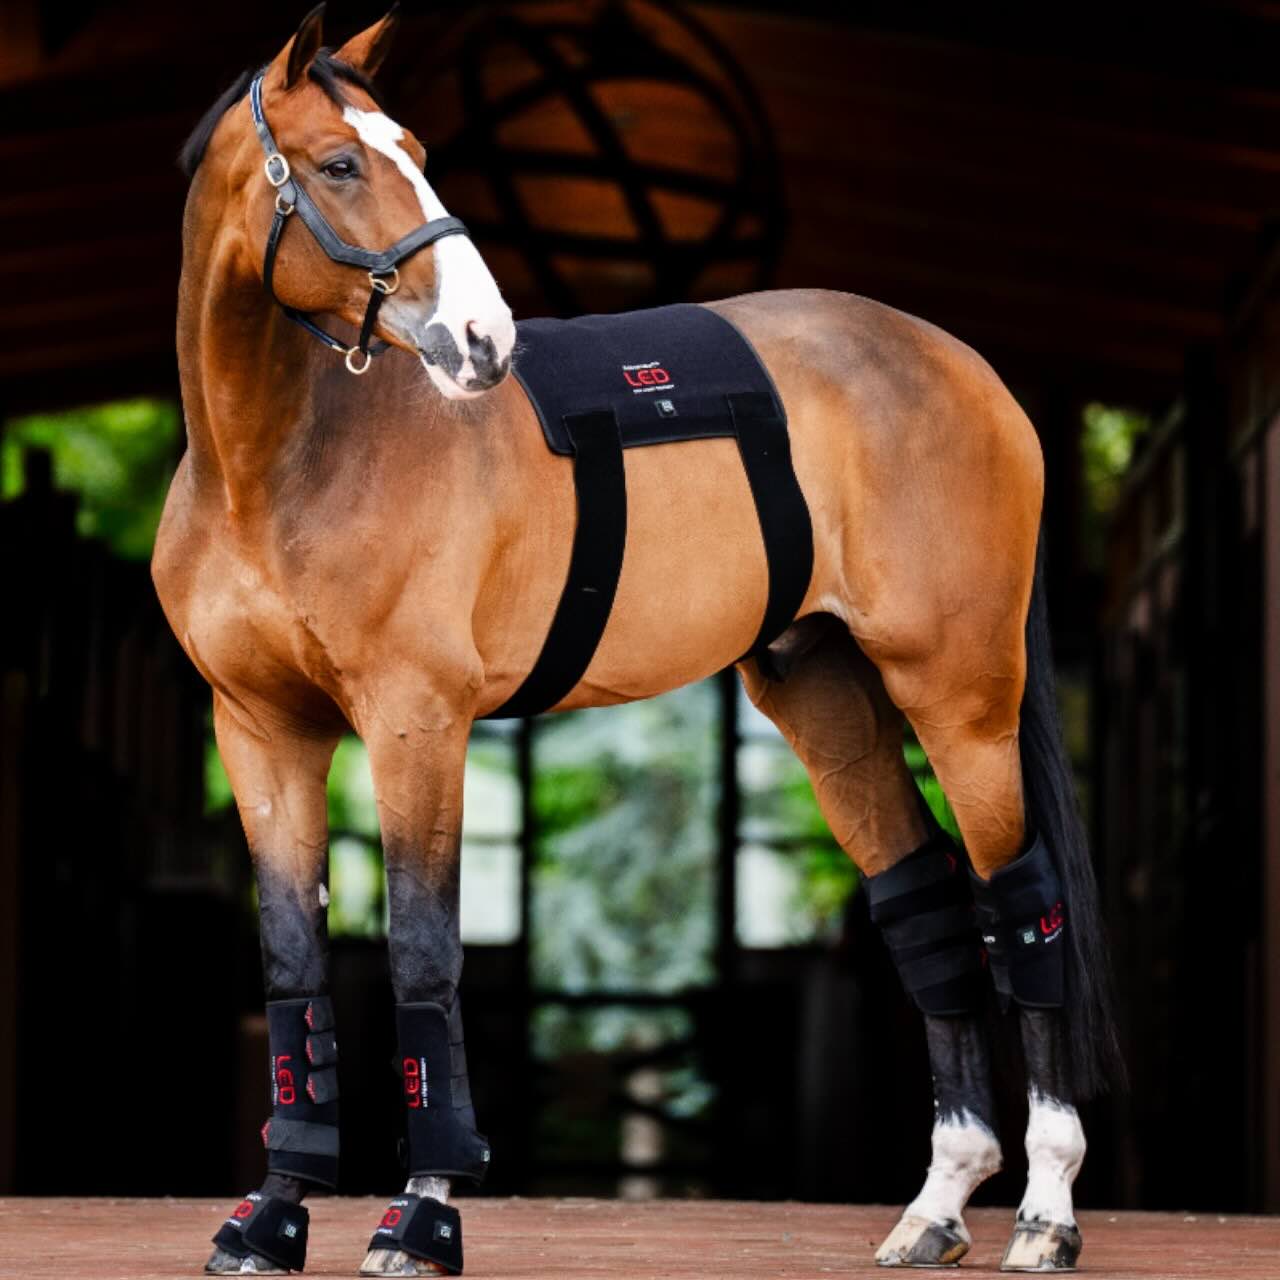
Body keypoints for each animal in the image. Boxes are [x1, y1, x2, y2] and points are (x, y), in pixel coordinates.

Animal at [155, 5, 1123, 1274]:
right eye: (337, 164)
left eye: (413, 148)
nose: (482, 339)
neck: (275, 468)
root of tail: (969, 371)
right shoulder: (262, 734)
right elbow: (291, 969)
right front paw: (270, 1215)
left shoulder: (417, 724)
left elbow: (424, 957)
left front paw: (421, 1213)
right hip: (828, 695)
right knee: (927, 907)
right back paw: (934, 1204)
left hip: (959, 697)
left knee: (1021, 903)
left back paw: (1046, 1211)